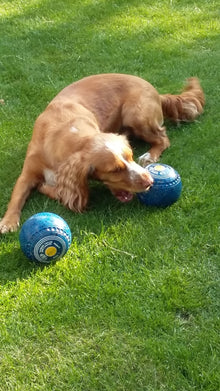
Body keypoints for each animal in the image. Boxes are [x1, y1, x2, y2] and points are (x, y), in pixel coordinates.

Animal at [0, 73, 205, 233]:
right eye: (115, 170)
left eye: (130, 156)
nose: (150, 181)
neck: (64, 131)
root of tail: (155, 91)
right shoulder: (27, 174)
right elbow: (17, 196)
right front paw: (8, 222)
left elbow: (59, 191)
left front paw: (45, 187)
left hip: (136, 114)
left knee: (163, 138)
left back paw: (150, 155)